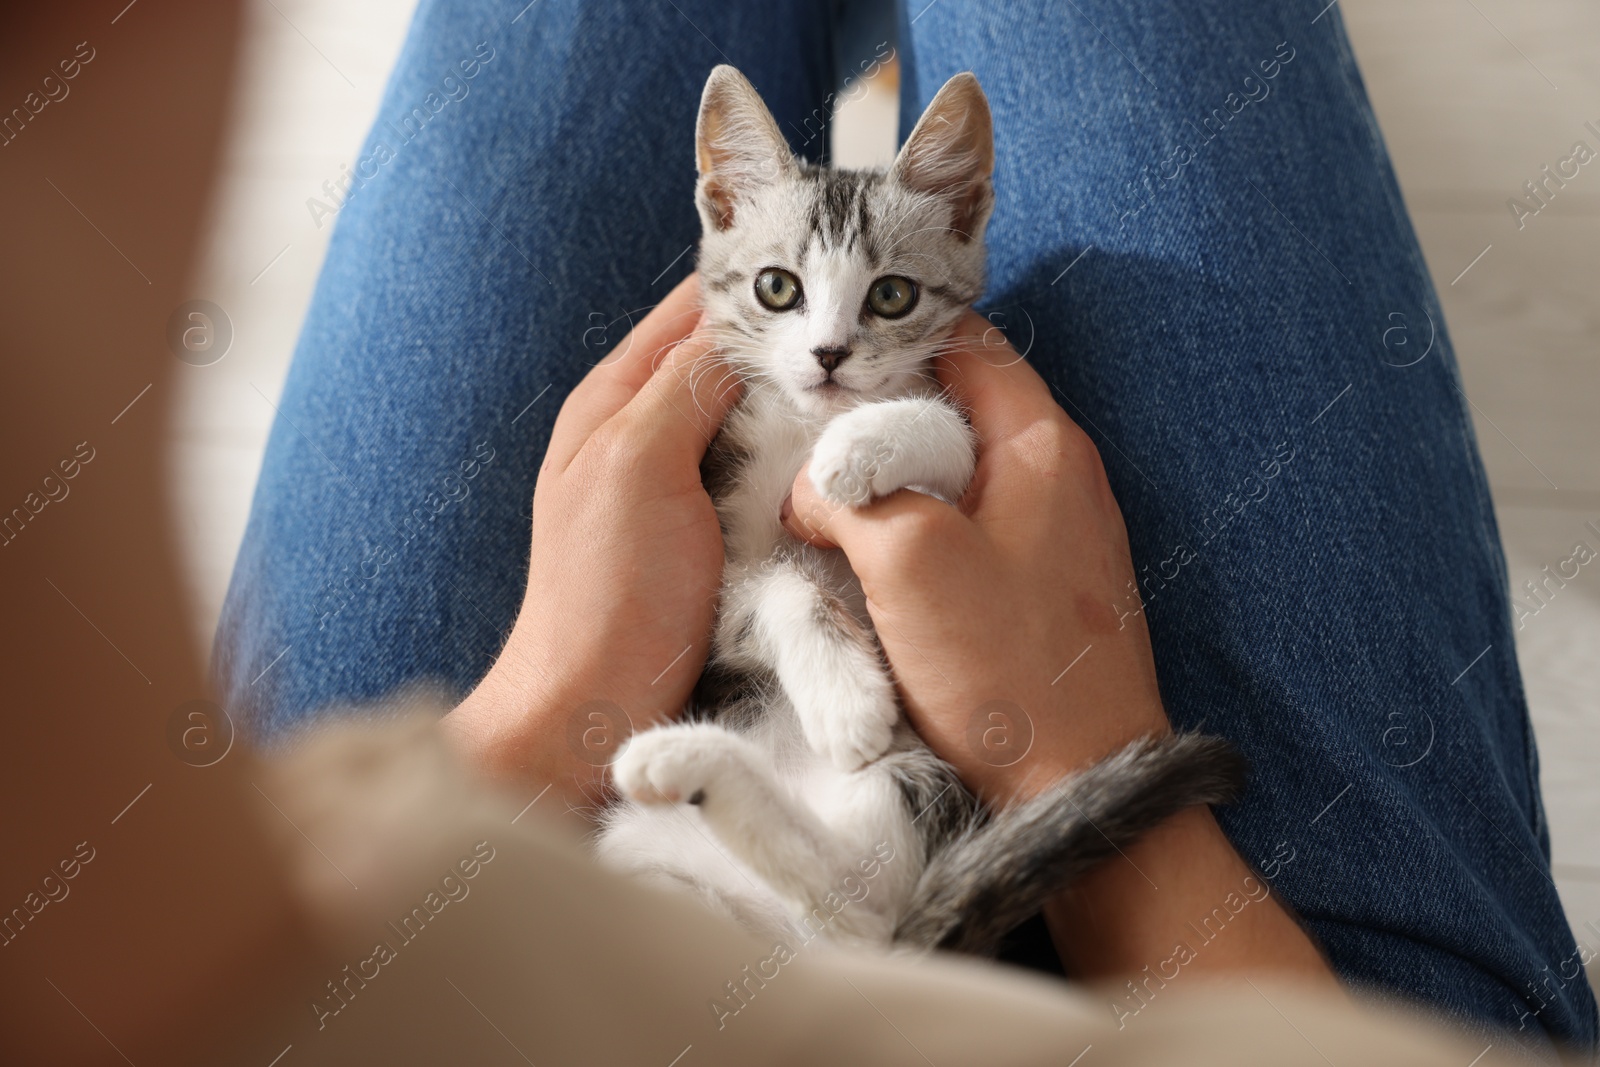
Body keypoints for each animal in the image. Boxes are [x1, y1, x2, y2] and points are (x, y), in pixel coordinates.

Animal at [595, 64, 1241, 953]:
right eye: (776, 287)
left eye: (893, 295)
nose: (829, 355)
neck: (809, 417)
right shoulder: (716, 563)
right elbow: (775, 585)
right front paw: (845, 693)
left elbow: (954, 436)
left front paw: (860, 448)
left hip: (915, 779)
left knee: (857, 906)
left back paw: (689, 764)